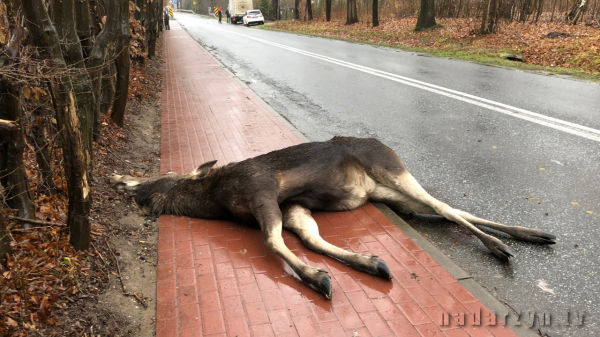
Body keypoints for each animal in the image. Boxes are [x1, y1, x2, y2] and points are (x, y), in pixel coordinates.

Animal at [110, 135, 556, 298]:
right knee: (447, 208)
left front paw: (316, 276)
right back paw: (532, 233)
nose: (121, 182)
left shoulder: (261, 189)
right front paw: (366, 263)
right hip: (391, 195)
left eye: (158, 175)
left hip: (389, 166)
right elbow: (309, 238)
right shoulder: (292, 205)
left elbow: (273, 240)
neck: (215, 199)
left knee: (445, 207)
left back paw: (500, 246)